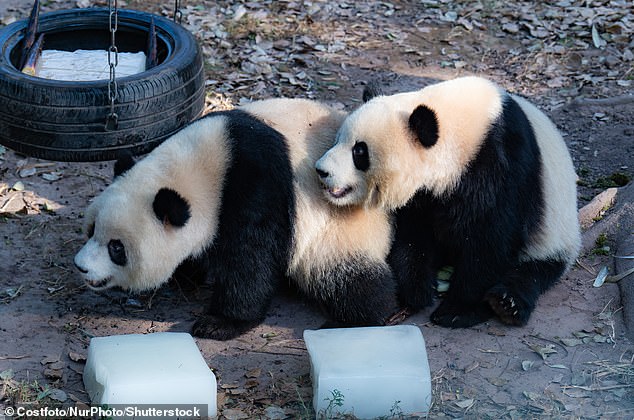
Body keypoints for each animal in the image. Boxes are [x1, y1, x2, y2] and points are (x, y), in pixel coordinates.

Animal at [74, 99, 396, 342]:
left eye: (117, 248)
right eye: (91, 230)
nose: (81, 267)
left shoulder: (256, 189)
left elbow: (251, 260)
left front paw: (218, 323)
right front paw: (187, 275)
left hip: (339, 227)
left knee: (345, 275)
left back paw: (356, 319)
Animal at [314, 77, 580, 330]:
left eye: (359, 152)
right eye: (337, 140)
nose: (321, 170)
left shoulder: (501, 161)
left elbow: (492, 237)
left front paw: (458, 311)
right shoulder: (423, 195)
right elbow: (414, 233)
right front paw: (416, 291)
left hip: (554, 228)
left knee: (533, 272)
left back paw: (507, 303)